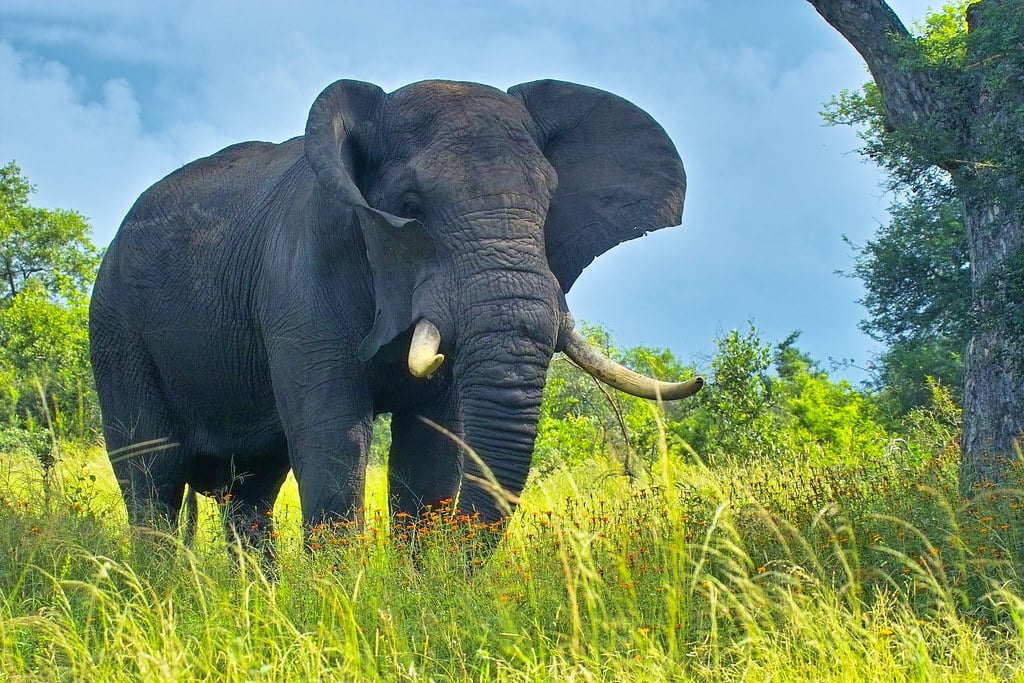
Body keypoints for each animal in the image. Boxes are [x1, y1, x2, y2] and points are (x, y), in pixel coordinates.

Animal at [89, 78, 704, 554]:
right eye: (410, 208)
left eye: (549, 207)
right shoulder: (299, 278)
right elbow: (334, 440)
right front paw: (339, 603)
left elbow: (429, 452)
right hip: (116, 330)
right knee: (152, 477)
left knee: (252, 489)